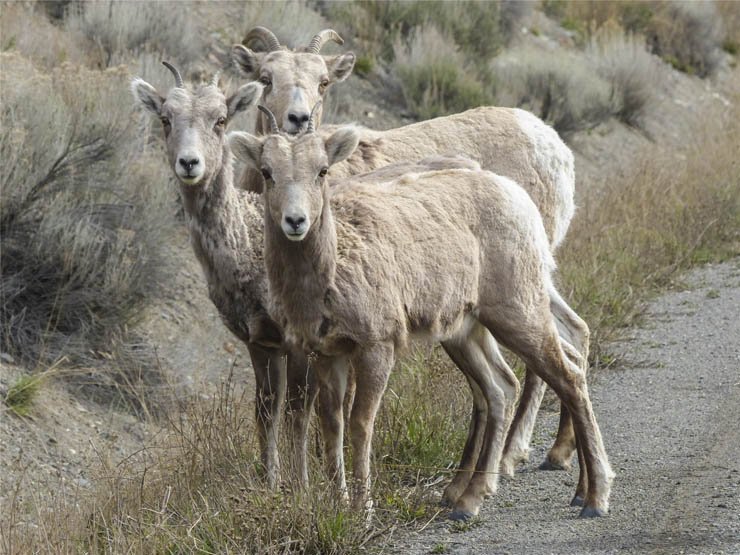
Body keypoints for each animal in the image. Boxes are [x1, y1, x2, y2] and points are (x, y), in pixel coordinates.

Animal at [229, 113, 613, 521]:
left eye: (322, 171)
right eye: (267, 172)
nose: (296, 221)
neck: (332, 268)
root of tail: (516, 196)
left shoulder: (377, 347)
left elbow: (360, 424)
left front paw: (363, 509)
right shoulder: (327, 353)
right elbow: (331, 424)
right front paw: (338, 504)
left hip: (518, 312)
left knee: (568, 379)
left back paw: (593, 497)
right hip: (465, 331)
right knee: (500, 387)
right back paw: (469, 501)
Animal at [230, 28, 582, 476]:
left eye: (323, 82)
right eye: (265, 78)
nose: (298, 120)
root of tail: (555, 147)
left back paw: (509, 457)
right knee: (573, 335)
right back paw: (555, 452)